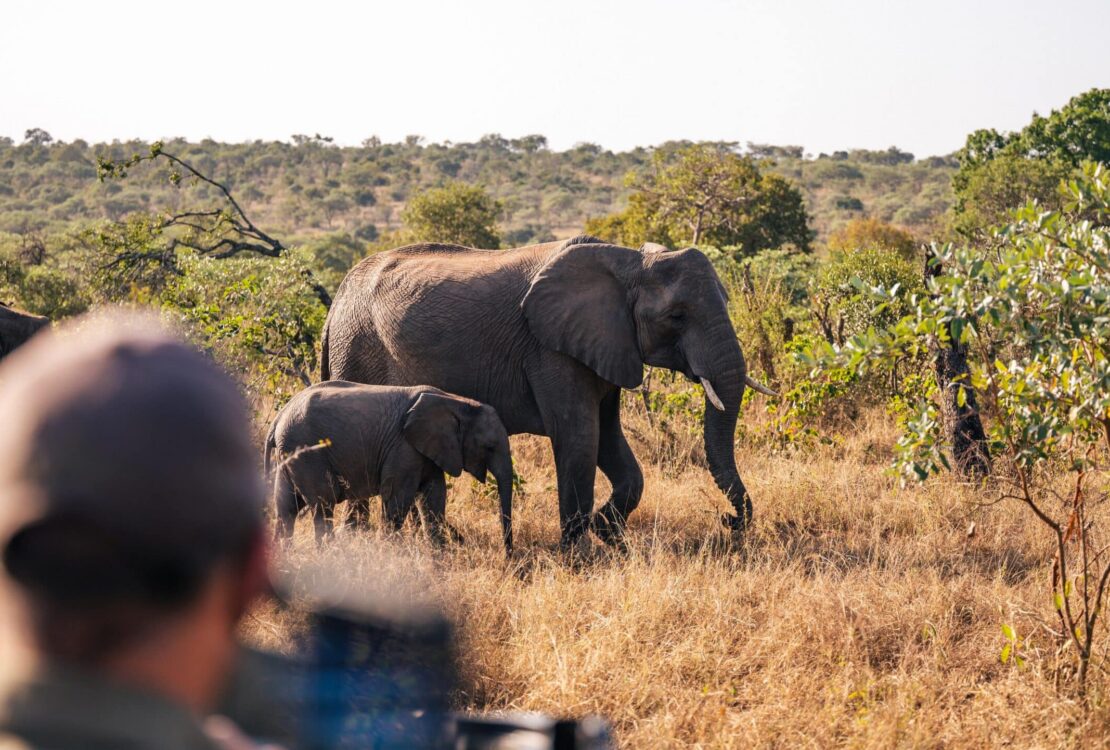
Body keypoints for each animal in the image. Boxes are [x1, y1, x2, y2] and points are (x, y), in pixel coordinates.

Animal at [264, 382, 514, 552]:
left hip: (290, 453)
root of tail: (278, 418)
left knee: (287, 507)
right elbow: (397, 500)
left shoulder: (430, 449)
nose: (509, 558)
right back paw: (330, 556)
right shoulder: (404, 448)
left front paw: (439, 558)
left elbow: (434, 498)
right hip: (306, 451)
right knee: (324, 504)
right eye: (489, 447)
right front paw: (390, 554)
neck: (458, 403)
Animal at [321, 235, 776, 551]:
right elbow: (579, 437)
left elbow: (611, 443)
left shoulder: (605, 345)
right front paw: (580, 557)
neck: (630, 262)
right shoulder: (550, 350)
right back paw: (361, 543)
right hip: (357, 349)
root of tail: (335, 303)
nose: (729, 521)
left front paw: (609, 536)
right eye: (677, 317)